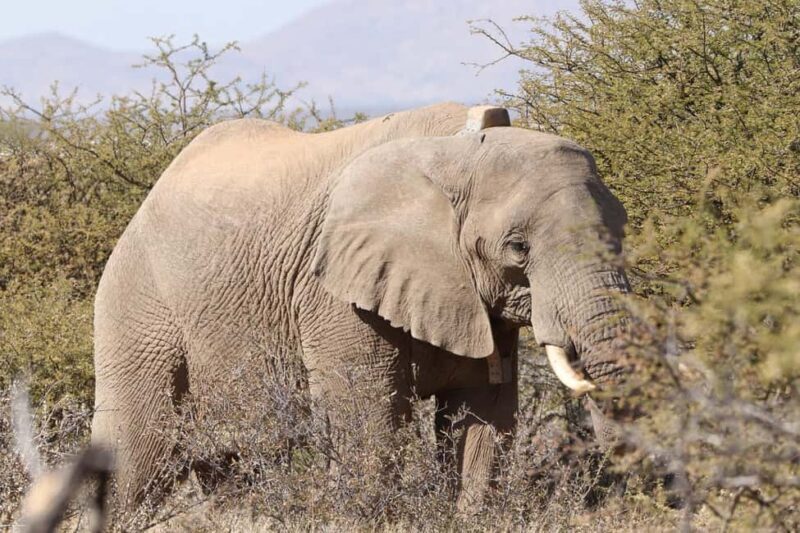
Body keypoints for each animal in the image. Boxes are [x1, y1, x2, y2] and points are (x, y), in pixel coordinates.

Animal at [90, 102, 631, 509]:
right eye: (518, 248)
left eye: (623, 230)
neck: (457, 152)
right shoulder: (335, 294)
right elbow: (369, 419)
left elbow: (485, 417)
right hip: (137, 302)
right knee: (137, 450)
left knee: (235, 457)